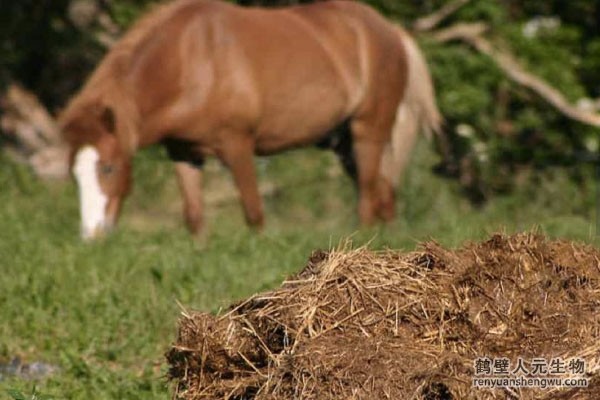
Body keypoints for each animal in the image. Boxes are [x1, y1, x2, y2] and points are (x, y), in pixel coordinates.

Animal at [61, 0, 442, 241]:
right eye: (74, 174)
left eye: (108, 167)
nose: (92, 235)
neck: (190, 61)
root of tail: (391, 30)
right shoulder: (184, 153)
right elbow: (195, 217)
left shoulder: (238, 145)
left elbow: (254, 213)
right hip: (344, 143)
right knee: (384, 194)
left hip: (368, 132)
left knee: (367, 197)